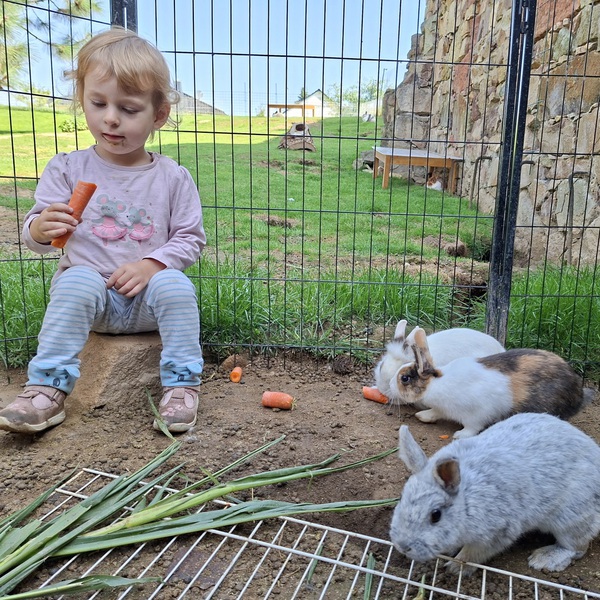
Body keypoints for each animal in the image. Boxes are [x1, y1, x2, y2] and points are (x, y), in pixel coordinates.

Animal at [389, 327, 593, 438]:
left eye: (405, 378)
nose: (390, 386)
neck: (436, 385)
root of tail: (579, 393)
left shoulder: (477, 414)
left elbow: (472, 427)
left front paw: (459, 435)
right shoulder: (442, 408)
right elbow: (435, 412)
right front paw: (423, 416)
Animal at [389, 413, 600, 575]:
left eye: (435, 515)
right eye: (401, 498)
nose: (402, 546)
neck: (466, 502)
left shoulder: (496, 533)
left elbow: (472, 555)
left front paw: (456, 568)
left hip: (571, 517)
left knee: (577, 547)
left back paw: (543, 559)